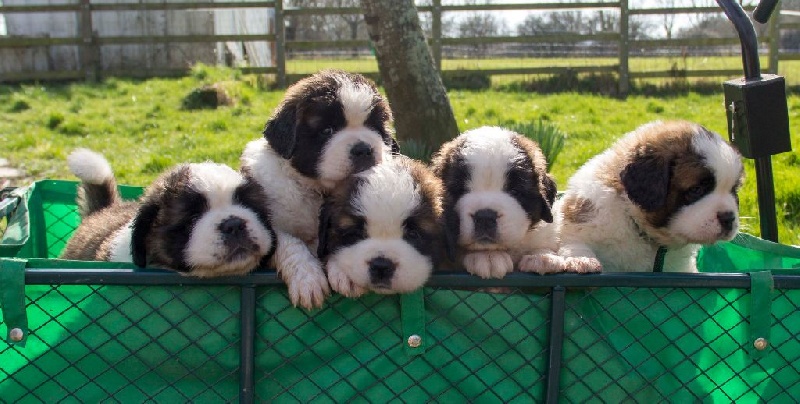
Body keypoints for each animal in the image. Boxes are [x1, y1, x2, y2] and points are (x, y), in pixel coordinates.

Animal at [239, 70, 398, 310]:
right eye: (327, 131)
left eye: (375, 129)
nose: (364, 149)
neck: (317, 189)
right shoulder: (265, 228)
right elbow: (290, 243)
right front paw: (308, 280)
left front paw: (345, 270)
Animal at [552, 118, 744, 274]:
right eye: (696, 190)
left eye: (734, 190)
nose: (728, 218)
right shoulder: (581, 221)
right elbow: (574, 242)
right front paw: (582, 260)